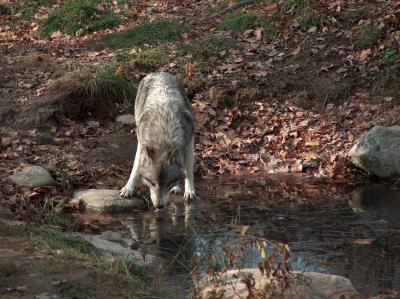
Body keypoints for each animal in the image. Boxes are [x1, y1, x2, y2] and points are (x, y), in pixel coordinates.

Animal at [119, 72, 196, 211]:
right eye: (152, 183)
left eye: (167, 184)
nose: (159, 206)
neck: (163, 138)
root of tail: (159, 72)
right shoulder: (142, 143)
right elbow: (136, 167)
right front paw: (128, 188)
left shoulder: (189, 141)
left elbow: (188, 170)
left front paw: (189, 190)